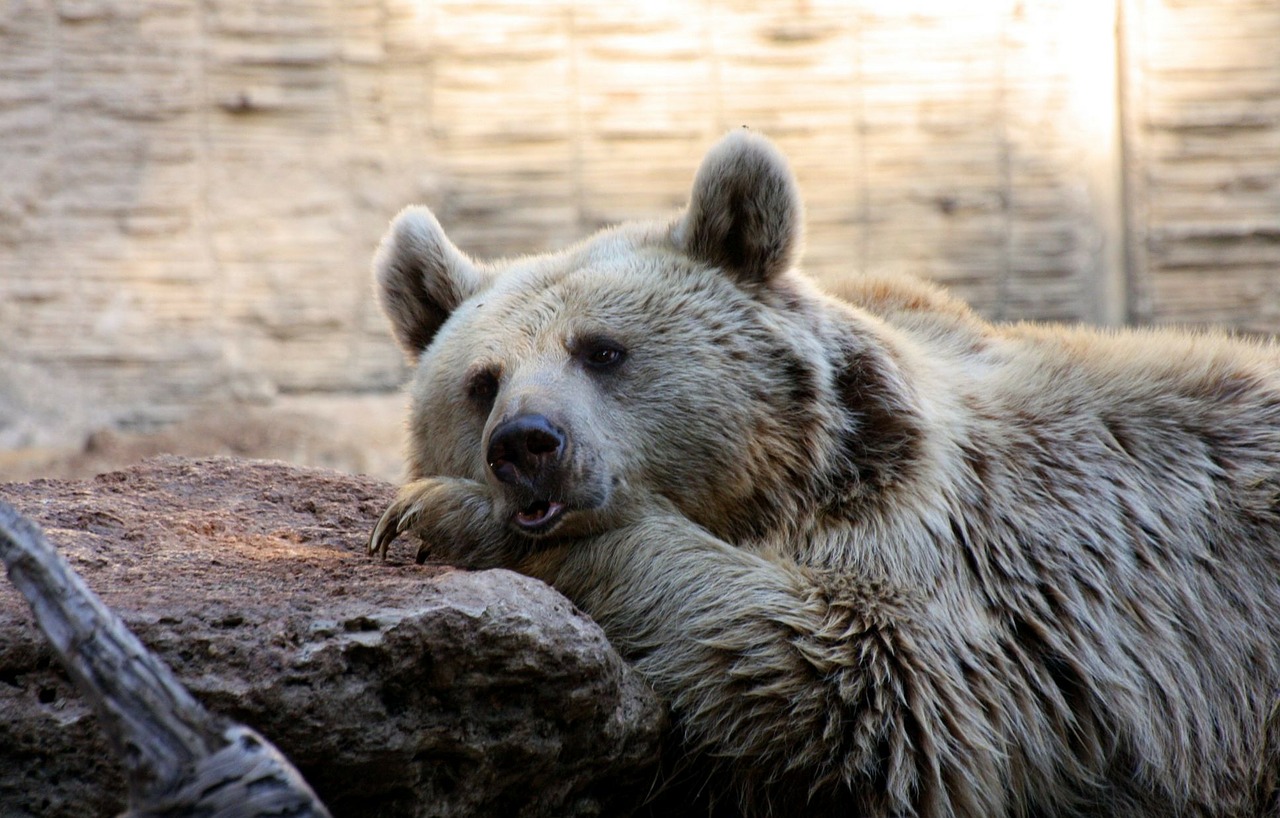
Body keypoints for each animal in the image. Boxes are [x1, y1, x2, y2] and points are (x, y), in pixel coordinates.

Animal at [366, 131, 1280, 814]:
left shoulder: (966, 562)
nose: (525, 444)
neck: (782, 484)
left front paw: (440, 514)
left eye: (602, 350)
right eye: (481, 382)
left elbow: (858, 680)